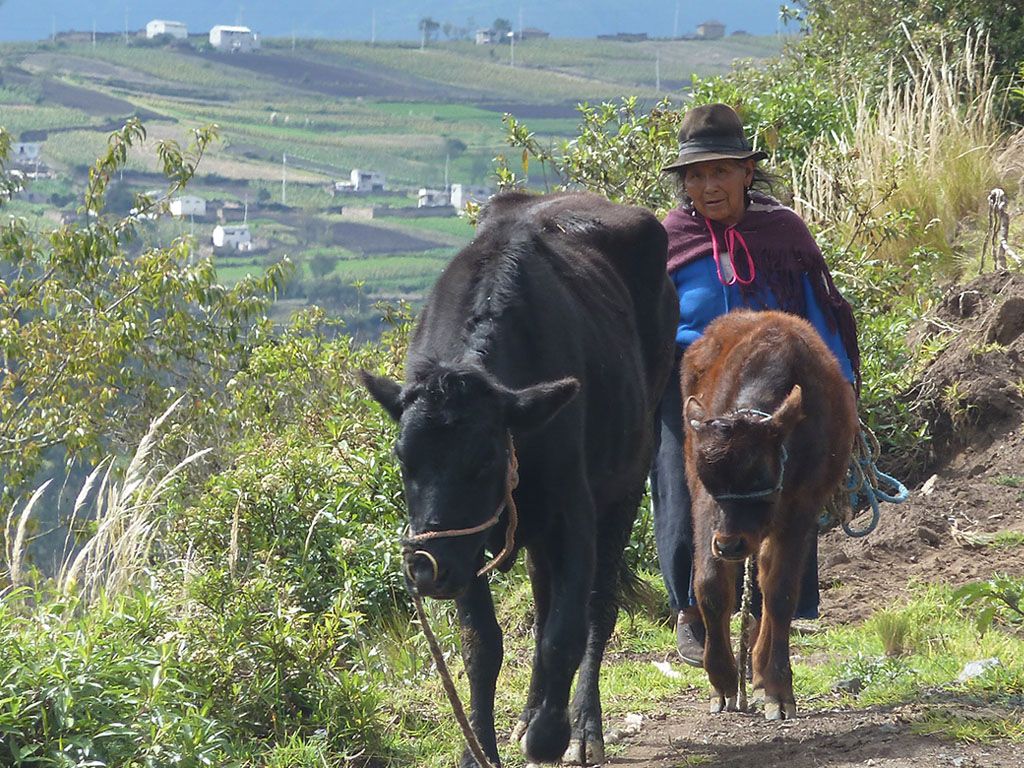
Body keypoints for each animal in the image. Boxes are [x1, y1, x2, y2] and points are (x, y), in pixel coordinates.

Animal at [362, 191, 679, 765]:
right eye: (403, 459)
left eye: (485, 460)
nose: (423, 569)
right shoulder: (462, 549)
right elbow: (482, 645)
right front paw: (478, 747)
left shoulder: (572, 513)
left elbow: (566, 632)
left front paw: (553, 734)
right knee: (542, 595)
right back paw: (531, 711)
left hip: (625, 482)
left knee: (595, 609)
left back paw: (583, 726)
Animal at [684, 309, 860, 720]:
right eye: (710, 480)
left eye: (760, 475)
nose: (730, 545)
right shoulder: (704, 504)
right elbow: (710, 586)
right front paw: (722, 681)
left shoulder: (801, 506)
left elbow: (781, 592)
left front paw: (778, 688)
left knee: (767, 577)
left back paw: (762, 671)